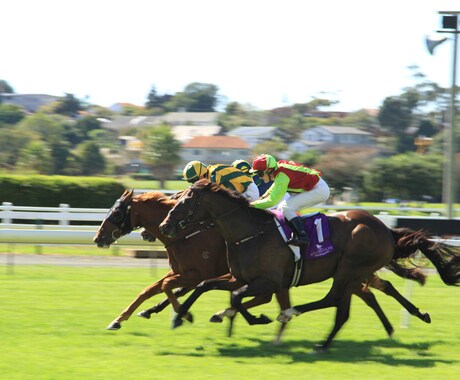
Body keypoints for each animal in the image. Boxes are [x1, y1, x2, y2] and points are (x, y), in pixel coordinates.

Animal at [159, 180, 460, 350]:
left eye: (186, 200)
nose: (165, 225)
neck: (249, 233)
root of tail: (386, 230)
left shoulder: (268, 281)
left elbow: (236, 297)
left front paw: (255, 318)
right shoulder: (239, 277)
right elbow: (204, 285)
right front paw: (179, 316)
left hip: (349, 269)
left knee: (335, 300)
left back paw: (293, 316)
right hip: (354, 274)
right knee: (352, 304)